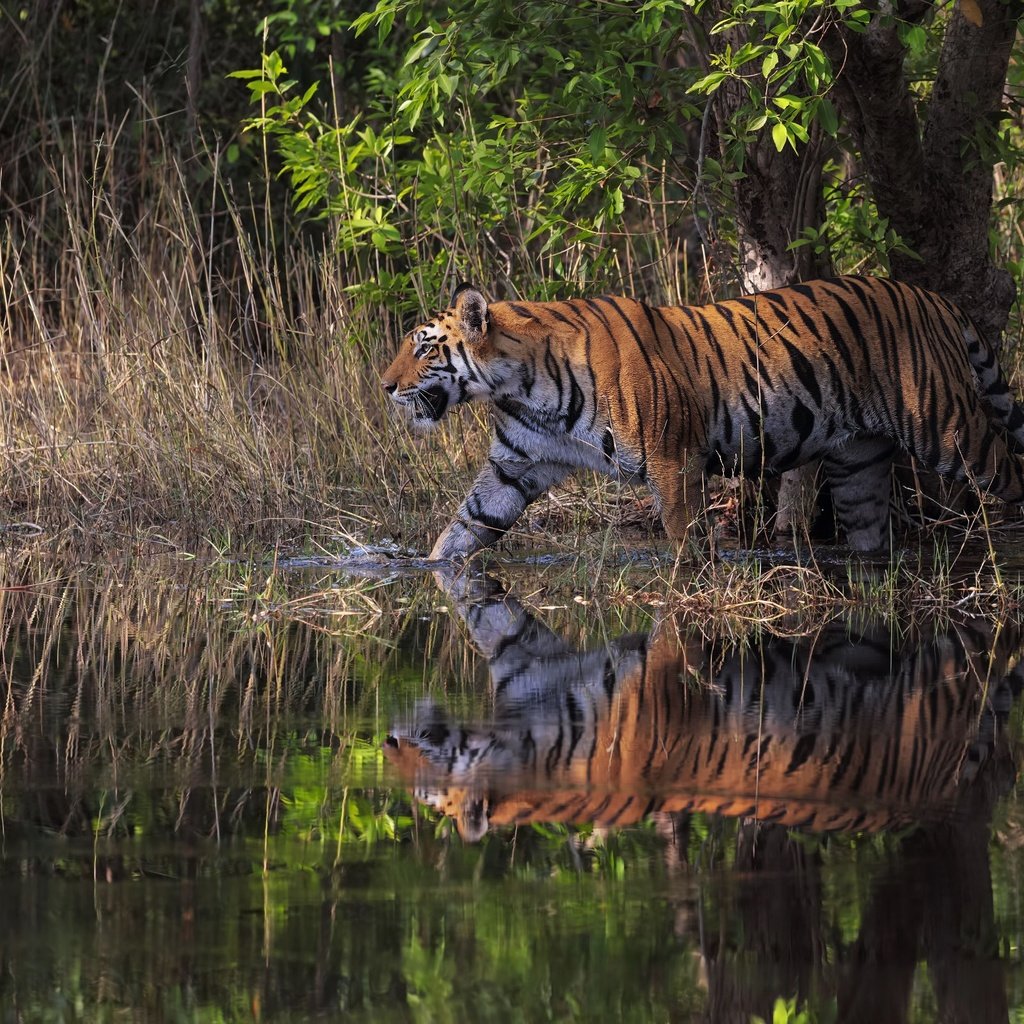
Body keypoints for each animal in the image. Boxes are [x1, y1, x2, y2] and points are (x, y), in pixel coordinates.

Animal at [380, 276, 1024, 557]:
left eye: (424, 348)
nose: (385, 387)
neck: (519, 387)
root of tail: (932, 296)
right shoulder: (516, 464)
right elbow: (465, 525)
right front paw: (432, 573)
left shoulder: (673, 459)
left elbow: (682, 538)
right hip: (858, 464)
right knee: (871, 533)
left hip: (948, 428)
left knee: (1009, 471)